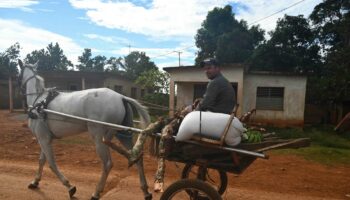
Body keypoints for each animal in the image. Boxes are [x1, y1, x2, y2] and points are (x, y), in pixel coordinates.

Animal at [17, 60, 152, 200]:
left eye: (18, 76)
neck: (39, 102)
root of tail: (121, 97)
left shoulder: (43, 139)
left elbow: (51, 163)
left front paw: (69, 187)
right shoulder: (46, 138)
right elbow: (42, 161)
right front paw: (35, 181)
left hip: (99, 137)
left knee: (107, 164)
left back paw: (96, 192)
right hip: (122, 134)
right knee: (137, 157)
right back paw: (145, 191)